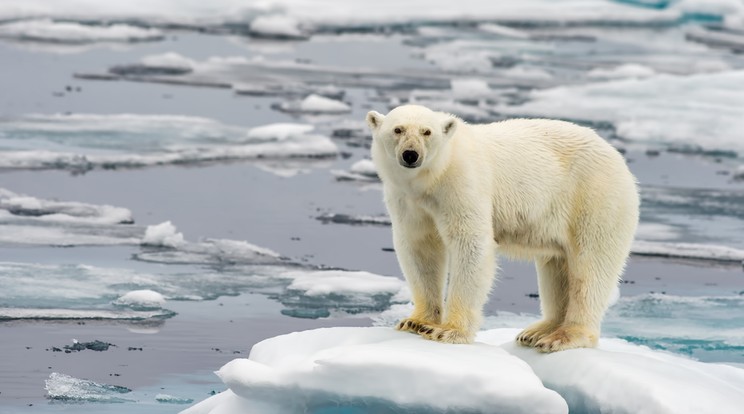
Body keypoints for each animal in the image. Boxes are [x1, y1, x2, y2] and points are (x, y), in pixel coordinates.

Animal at [366, 104, 640, 352]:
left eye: (427, 132)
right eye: (398, 129)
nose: (411, 154)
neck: (432, 178)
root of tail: (618, 159)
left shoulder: (462, 184)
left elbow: (471, 243)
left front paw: (448, 331)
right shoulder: (408, 200)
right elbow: (420, 248)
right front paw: (416, 322)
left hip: (594, 197)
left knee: (590, 266)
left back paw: (563, 336)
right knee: (557, 266)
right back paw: (537, 332)